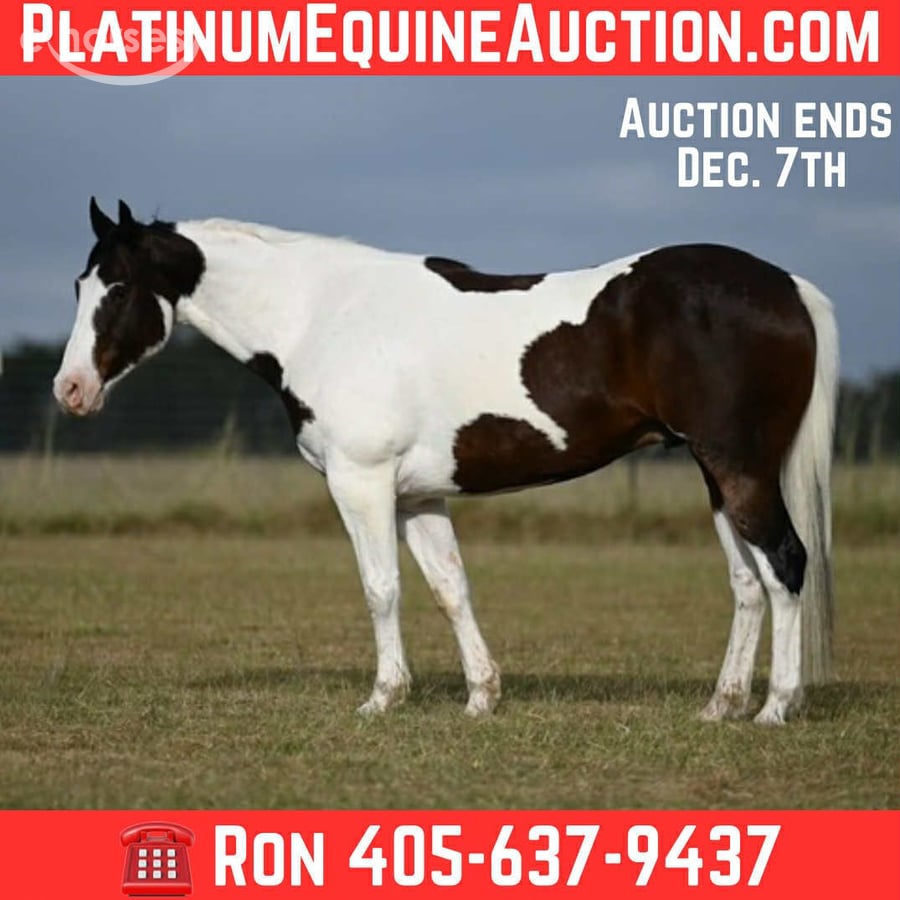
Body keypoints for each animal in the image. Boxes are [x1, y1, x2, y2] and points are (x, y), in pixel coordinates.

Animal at [54, 198, 838, 725]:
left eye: (117, 287)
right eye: (79, 286)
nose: (71, 390)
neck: (321, 317)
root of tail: (788, 286)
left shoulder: (362, 485)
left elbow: (381, 589)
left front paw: (382, 699)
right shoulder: (418, 497)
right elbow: (450, 588)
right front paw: (482, 697)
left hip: (739, 467)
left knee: (786, 564)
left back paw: (776, 707)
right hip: (716, 472)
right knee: (748, 581)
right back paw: (721, 705)